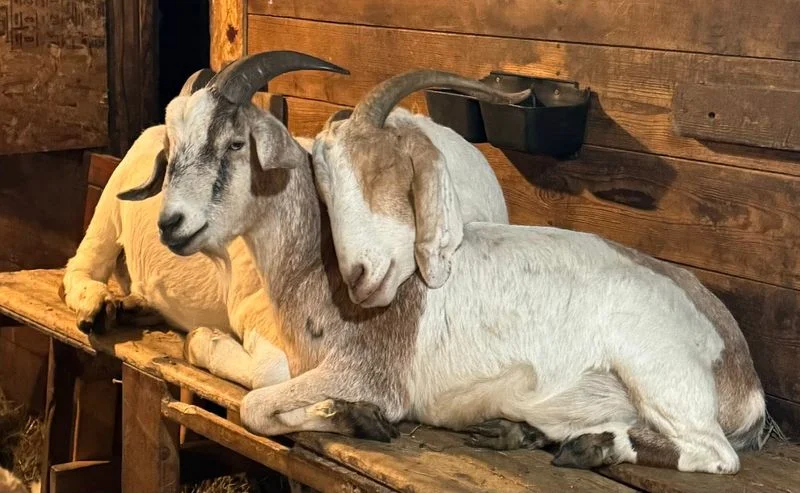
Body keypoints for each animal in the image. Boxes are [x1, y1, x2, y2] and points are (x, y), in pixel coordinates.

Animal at [310, 69, 767, 473]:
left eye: (382, 168)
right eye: (324, 195)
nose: (357, 276)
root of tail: (746, 382)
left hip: (661, 375)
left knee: (715, 454)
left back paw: (590, 447)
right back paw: (524, 432)